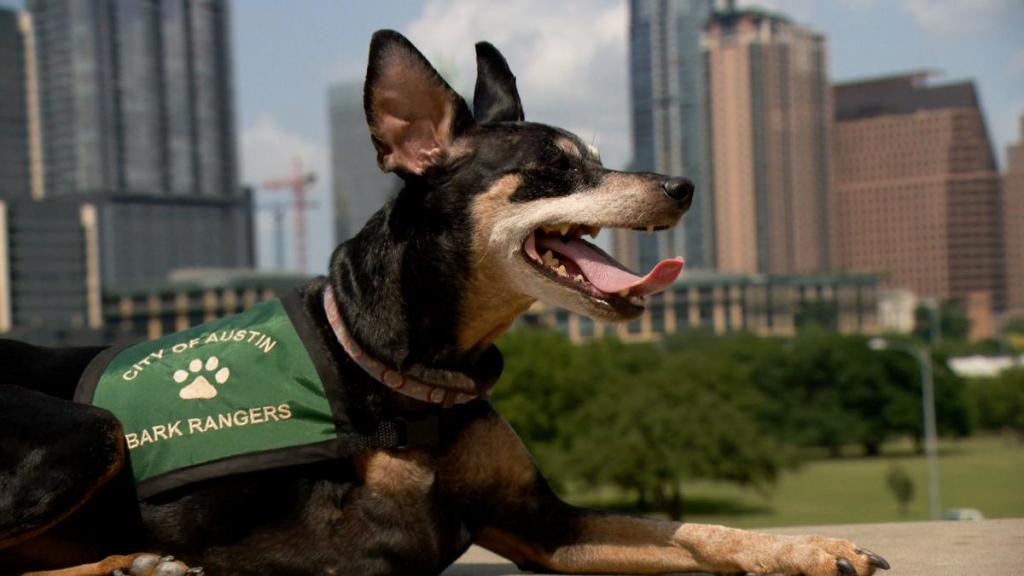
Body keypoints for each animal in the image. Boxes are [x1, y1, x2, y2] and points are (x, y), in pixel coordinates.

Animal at [0, 30, 888, 573]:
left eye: (598, 158)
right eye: (554, 170)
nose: (682, 186)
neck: (409, 365)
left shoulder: (541, 523)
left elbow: (685, 529)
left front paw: (809, 548)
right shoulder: (342, 550)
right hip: (89, 432)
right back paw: (135, 561)